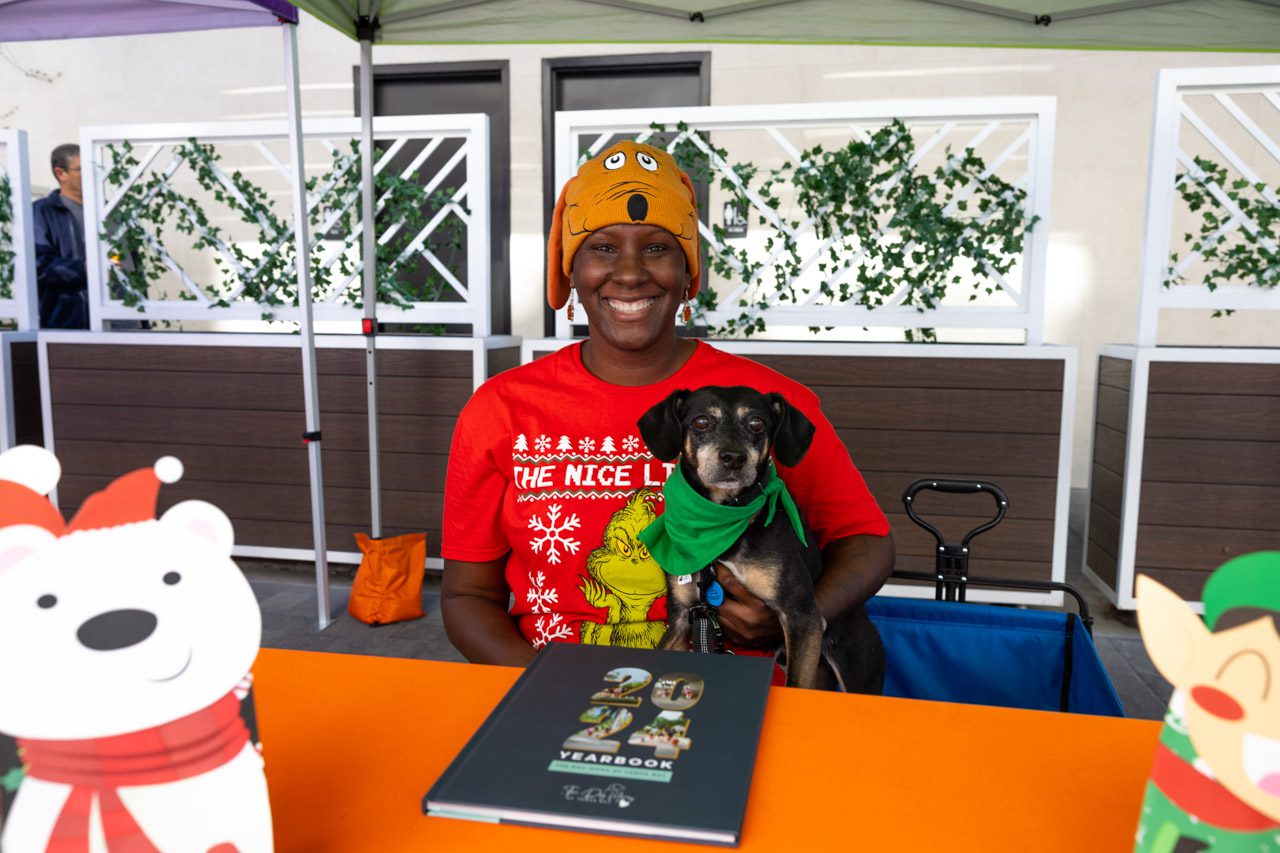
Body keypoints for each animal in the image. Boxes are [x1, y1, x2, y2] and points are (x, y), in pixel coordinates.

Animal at [638, 386, 885, 693]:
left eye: (757, 424)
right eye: (701, 422)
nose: (733, 458)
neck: (722, 520)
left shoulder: (801, 617)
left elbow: (795, 683)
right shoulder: (682, 618)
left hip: (859, 672)